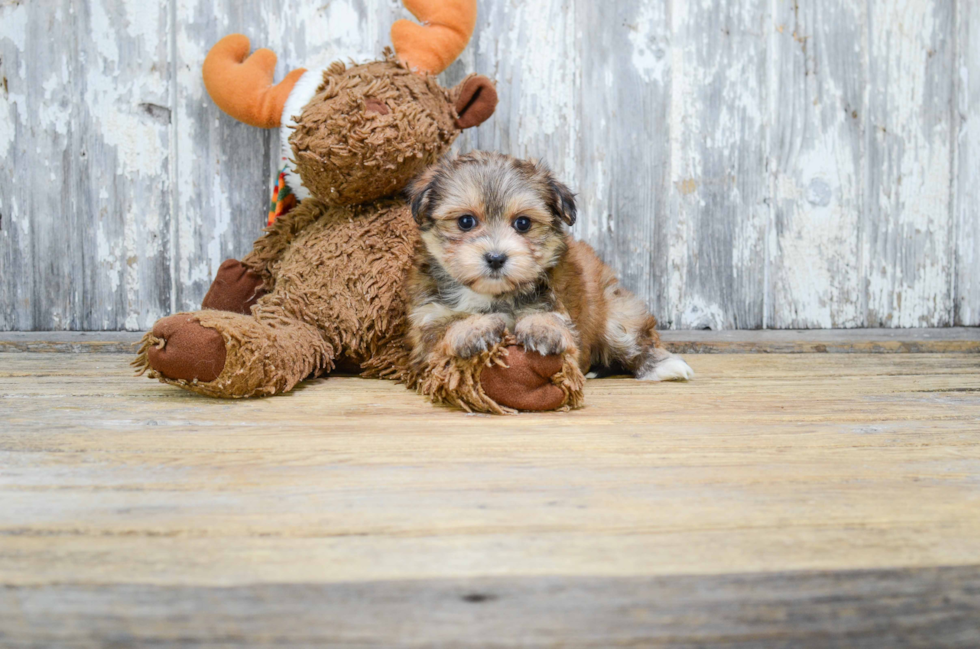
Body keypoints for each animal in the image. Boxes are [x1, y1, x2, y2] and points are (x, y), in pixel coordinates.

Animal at [402, 153, 692, 394]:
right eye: (465, 221)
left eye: (523, 223)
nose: (496, 258)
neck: (492, 295)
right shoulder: (426, 324)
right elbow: (444, 328)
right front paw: (473, 327)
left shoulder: (554, 305)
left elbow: (553, 320)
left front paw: (542, 328)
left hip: (616, 313)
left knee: (635, 339)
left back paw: (663, 365)